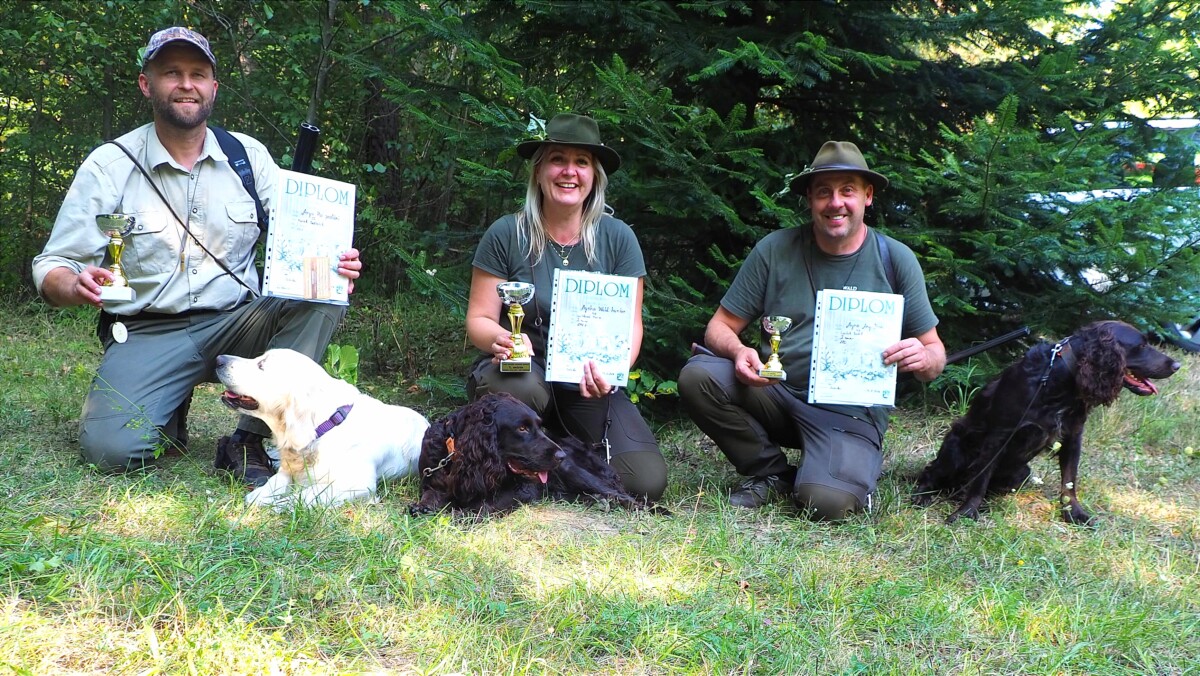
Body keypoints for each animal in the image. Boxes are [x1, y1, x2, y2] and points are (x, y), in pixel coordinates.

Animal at [214, 348, 427, 509]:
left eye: (262, 364)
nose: (218, 359)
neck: (326, 426)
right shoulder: (287, 470)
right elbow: (274, 482)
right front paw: (260, 495)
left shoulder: (359, 485)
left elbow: (310, 493)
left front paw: (282, 503)